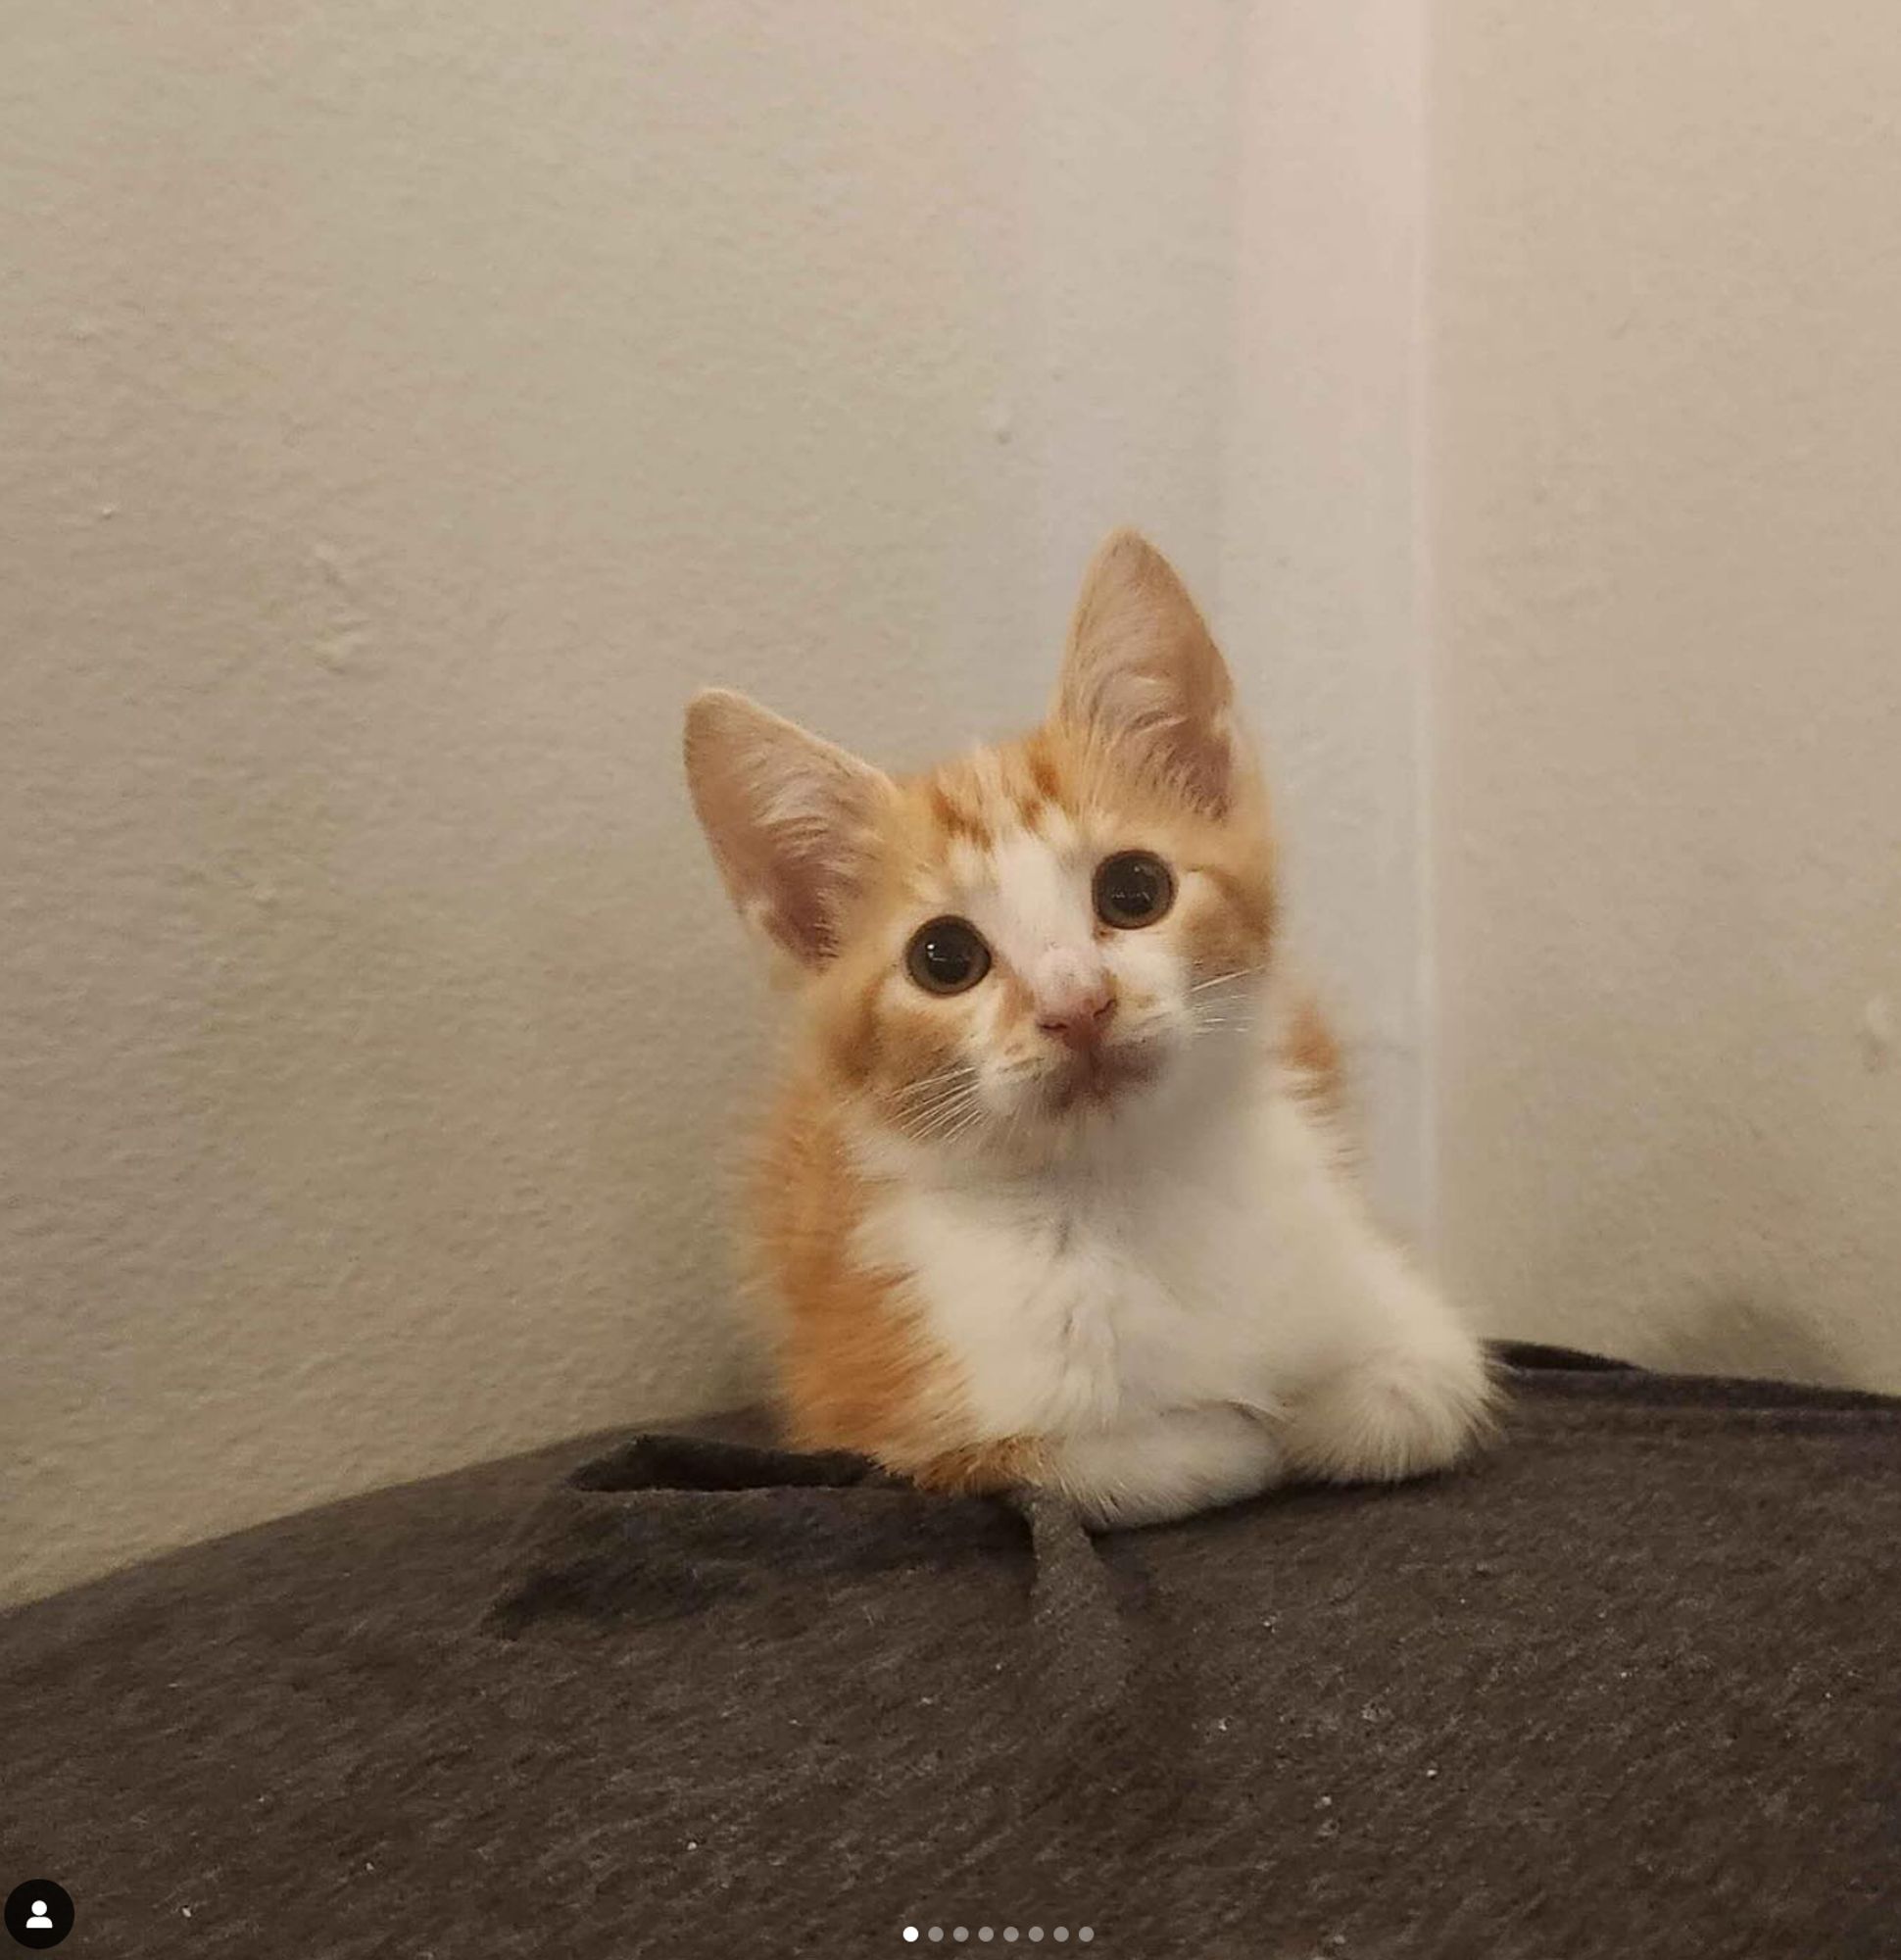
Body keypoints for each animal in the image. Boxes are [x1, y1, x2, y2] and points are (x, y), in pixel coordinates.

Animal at [682, 529, 1497, 1521]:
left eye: (1135, 889)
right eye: (943, 959)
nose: (1077, 1005)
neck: (1128, 1186)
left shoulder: (1404, 1311)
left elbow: (1409, 1402)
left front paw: (1303, 1410)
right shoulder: (885, 1413)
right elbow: (1154, 1457)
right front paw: (1236, 1428)